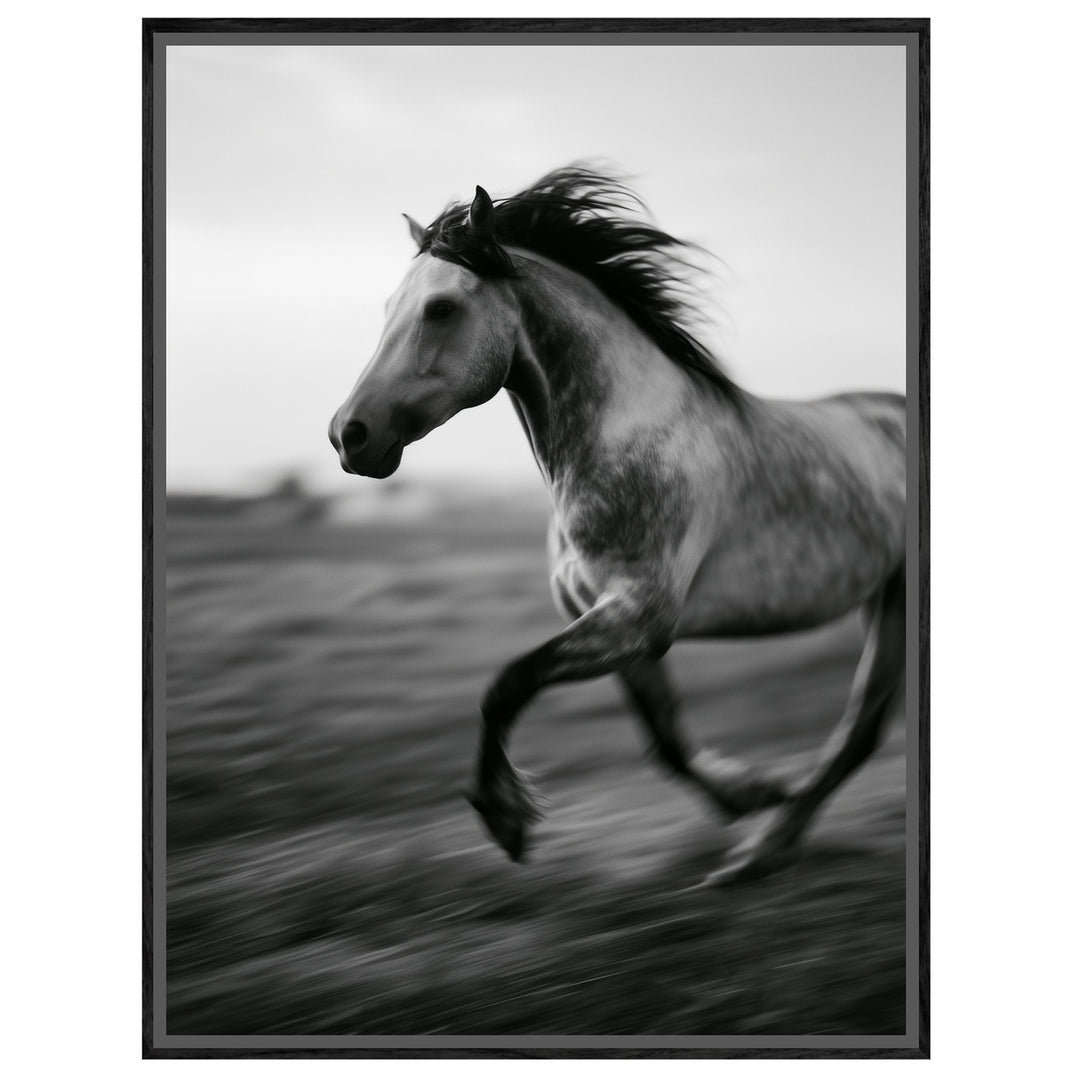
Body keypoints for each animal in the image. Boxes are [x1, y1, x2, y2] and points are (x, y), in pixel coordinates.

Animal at [328, 167, 907, 884]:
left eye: (440, 308)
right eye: (388, 308)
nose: (349, 435)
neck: (624, 439)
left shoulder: (638, 616)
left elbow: (505, 685)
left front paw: (506, 819)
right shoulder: (610, 623)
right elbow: (664, 738)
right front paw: (750, 792)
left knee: (859, 730)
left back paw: (757, 853)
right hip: (882, 597)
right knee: (862, 731)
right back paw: (761, 847)